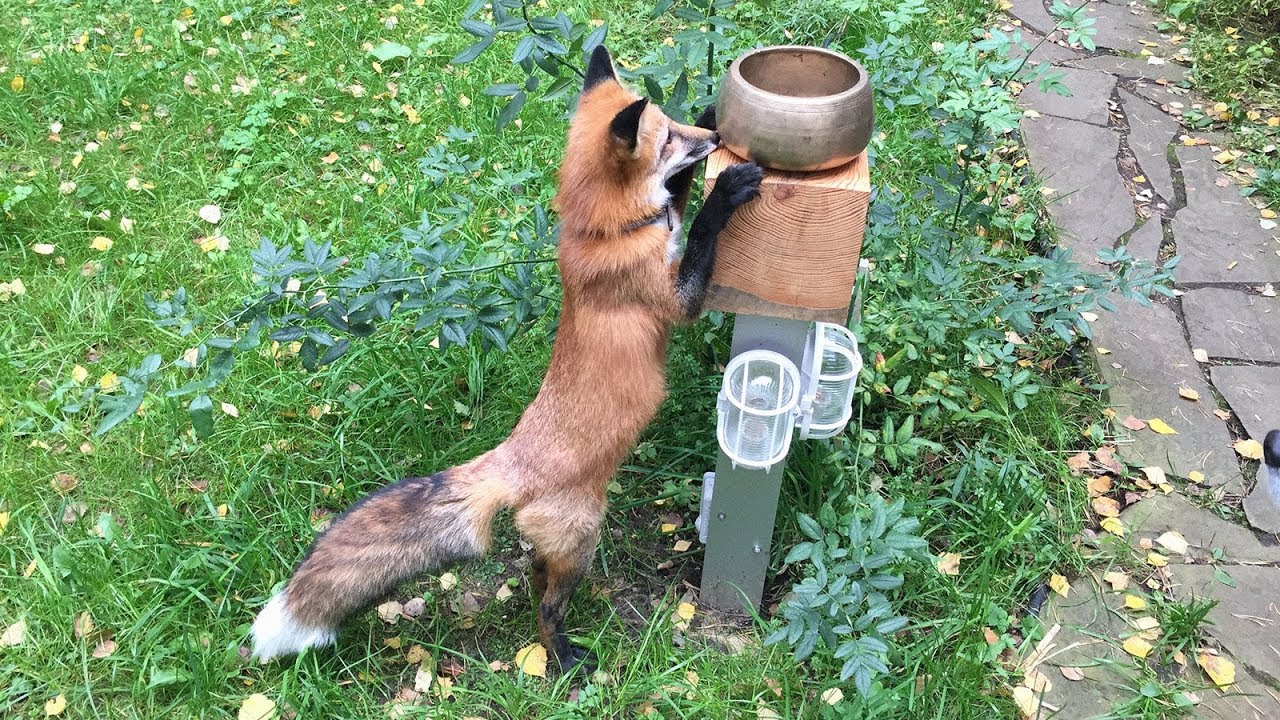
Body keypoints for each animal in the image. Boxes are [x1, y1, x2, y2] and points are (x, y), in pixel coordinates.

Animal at [250, 44, 764, 673]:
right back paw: (564, 656)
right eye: (669, 138)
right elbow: (699, 229)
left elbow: (680, 198)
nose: (713, 136)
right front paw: (726, 190)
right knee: (546, 607)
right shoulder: (675, 297)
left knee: (535, 576)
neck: (603, 231)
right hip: (583, 533)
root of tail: (510, 463)